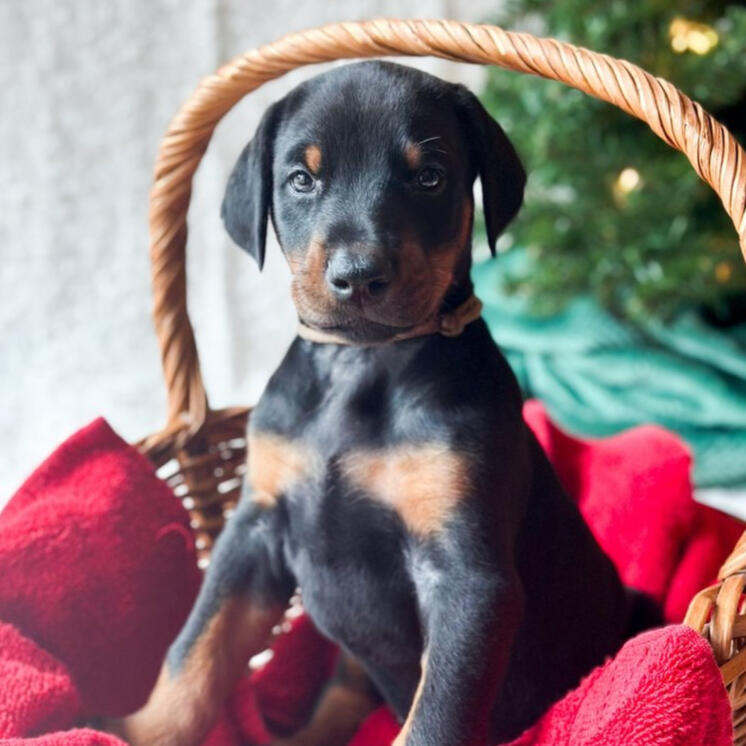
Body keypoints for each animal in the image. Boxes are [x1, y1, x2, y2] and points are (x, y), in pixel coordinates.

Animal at [112, 62, 656, 744]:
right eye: (301, 179)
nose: (358, 276)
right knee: (344, 690)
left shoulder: (466, 578)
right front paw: (136, 730)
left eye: (429, 177)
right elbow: (193, 651)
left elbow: (434, 719)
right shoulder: (254, 531)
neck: (361, 366)